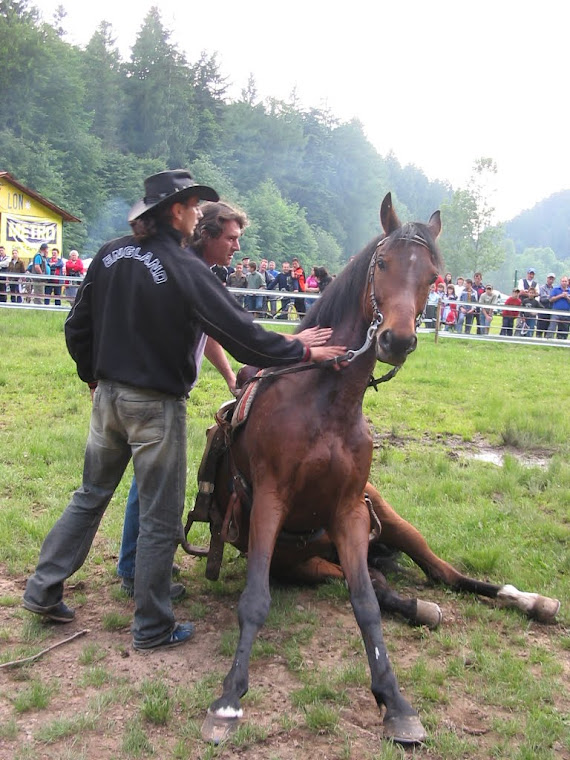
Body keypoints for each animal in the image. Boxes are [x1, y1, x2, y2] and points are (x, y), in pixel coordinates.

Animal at [197, 193, 442, 744]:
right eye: (382, 262)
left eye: (434, 276)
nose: (396, 339)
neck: (327, 403)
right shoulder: (270, 500)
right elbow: (255, 599)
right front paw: (228, 699)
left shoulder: (350, 510)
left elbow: (366, 604)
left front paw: (395, 703)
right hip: (309, 561)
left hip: (390, 522)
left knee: (439, 575)